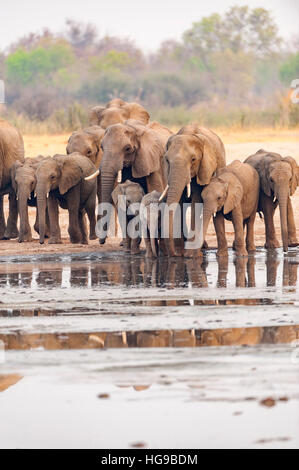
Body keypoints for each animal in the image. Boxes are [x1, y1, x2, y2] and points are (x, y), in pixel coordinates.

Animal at [161, 123, 226, 258]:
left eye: (193, 159)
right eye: (167, 160)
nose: (173, 254)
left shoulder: (204, 168)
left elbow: (197, 201)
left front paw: (190, 255)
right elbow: (179, 202)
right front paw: (180, 252)